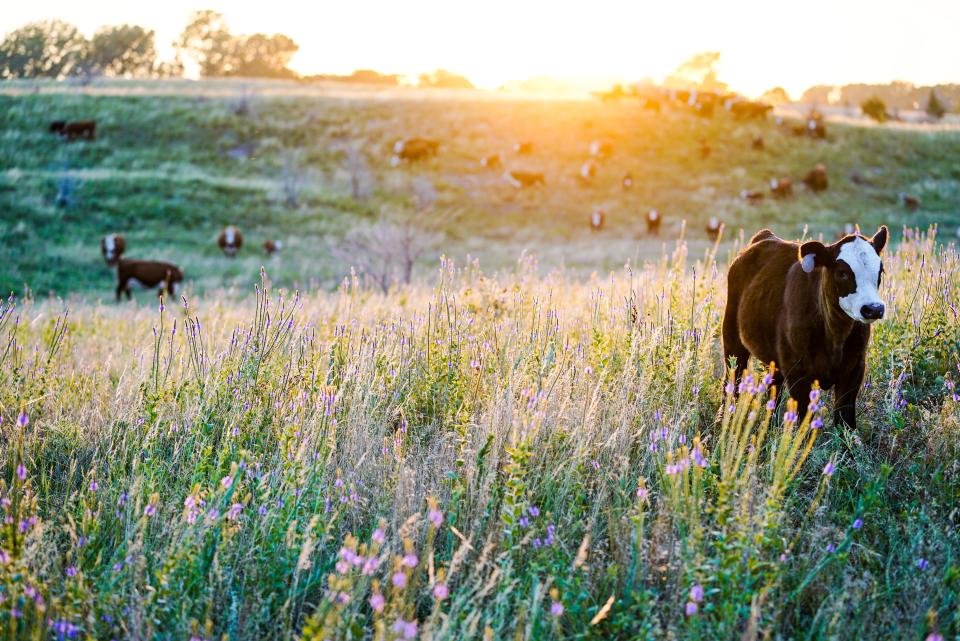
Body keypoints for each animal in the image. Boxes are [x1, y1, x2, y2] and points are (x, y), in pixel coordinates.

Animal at [720, 228, 892, 428]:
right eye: (842, 272)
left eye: (881, 270)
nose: (874, 308)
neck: (835, 334)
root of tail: (766, 235)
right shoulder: (797, 370)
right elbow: (803, 416)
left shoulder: (855, 367)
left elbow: (844, 418)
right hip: (732, 341)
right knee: (732, 380)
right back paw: (724, 418)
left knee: (774, 388)